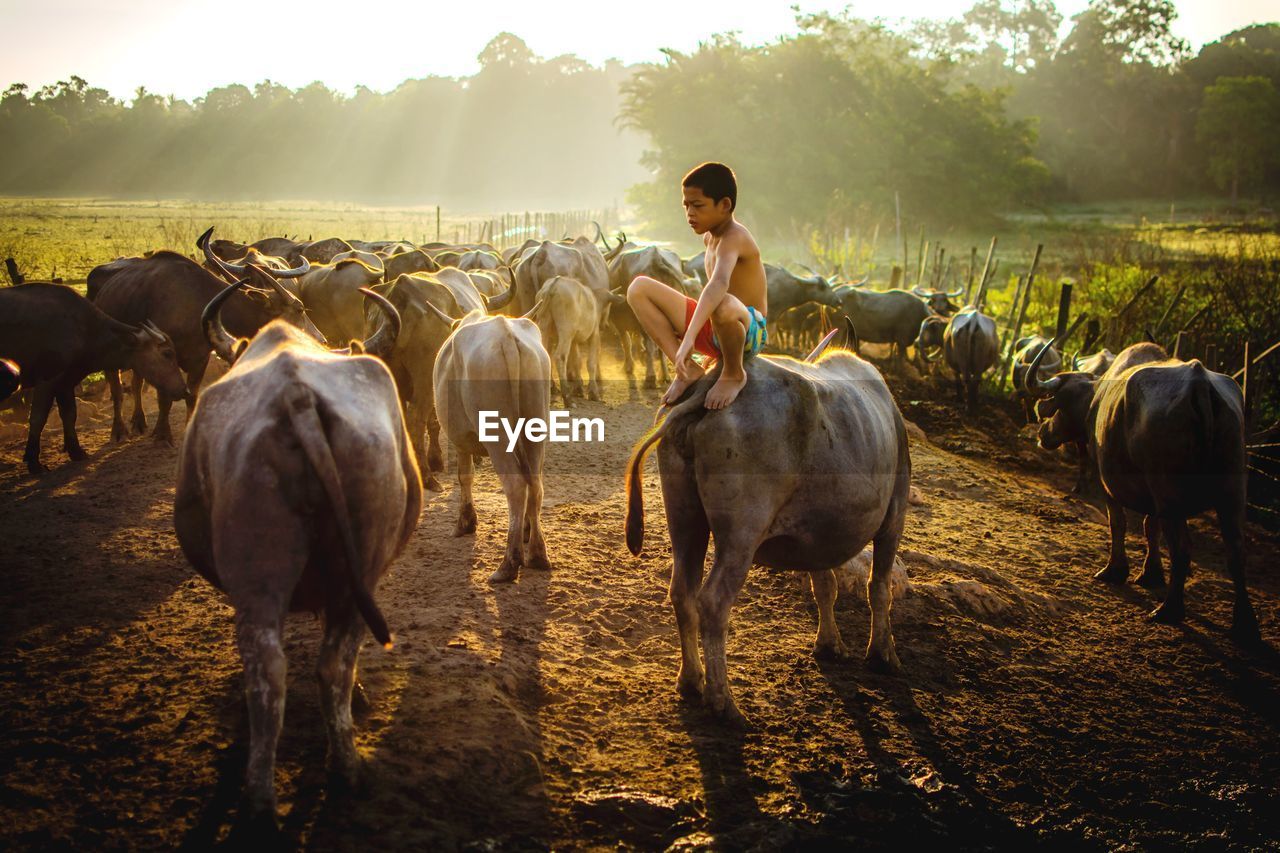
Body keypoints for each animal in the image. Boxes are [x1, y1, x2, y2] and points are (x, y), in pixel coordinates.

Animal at [0, 284, 186, 471]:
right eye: (167, 353)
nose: (184, 390)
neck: (83, 329)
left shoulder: (66, 382)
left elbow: (70, 414)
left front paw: (76, 452)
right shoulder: (47, 379)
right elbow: (38, 418)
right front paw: (33, 462)